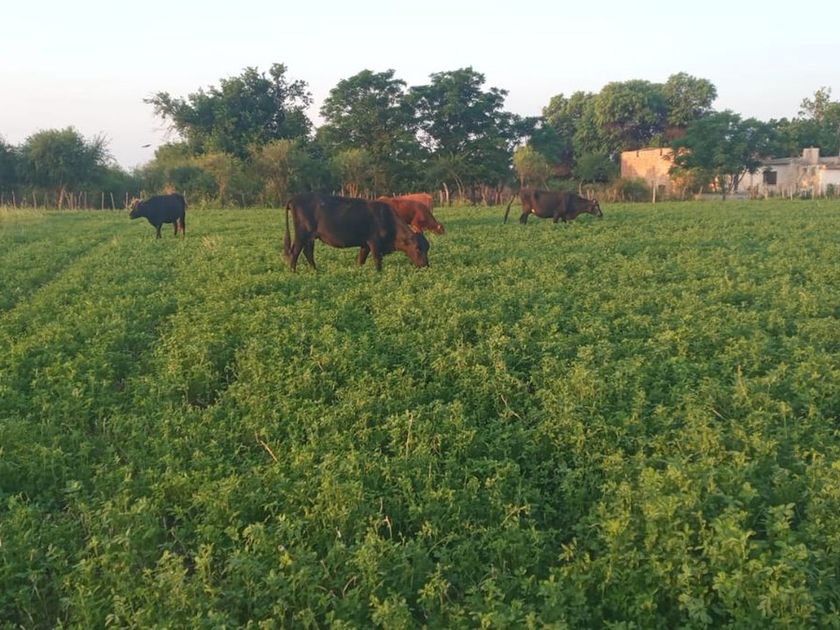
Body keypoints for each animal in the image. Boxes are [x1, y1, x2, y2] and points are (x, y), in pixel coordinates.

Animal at [284, 192, 429, 272]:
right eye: (418, 248)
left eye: (427, 248)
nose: (426, 266)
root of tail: (295, 198)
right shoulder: (374, 243)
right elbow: (377, 261)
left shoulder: (365, 245)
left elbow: (361, 260)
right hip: (302, 234)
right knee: (295, 252)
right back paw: (293, 272)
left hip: (310, 237)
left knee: (308, 252)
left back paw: (316, 271)